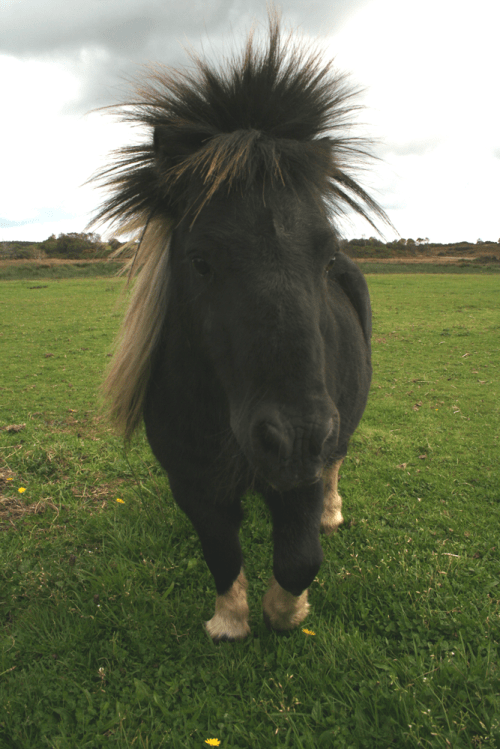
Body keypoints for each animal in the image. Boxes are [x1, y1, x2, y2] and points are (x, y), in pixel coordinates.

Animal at [93, 15, 390, 641]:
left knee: (336, 464)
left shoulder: (302, 474)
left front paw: (286, 613)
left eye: (326, 257)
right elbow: (220, 550)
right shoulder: (194, 482)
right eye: (200, 260)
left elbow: (299, 560)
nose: (294, 438)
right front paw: (228, 622)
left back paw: (332, 512)